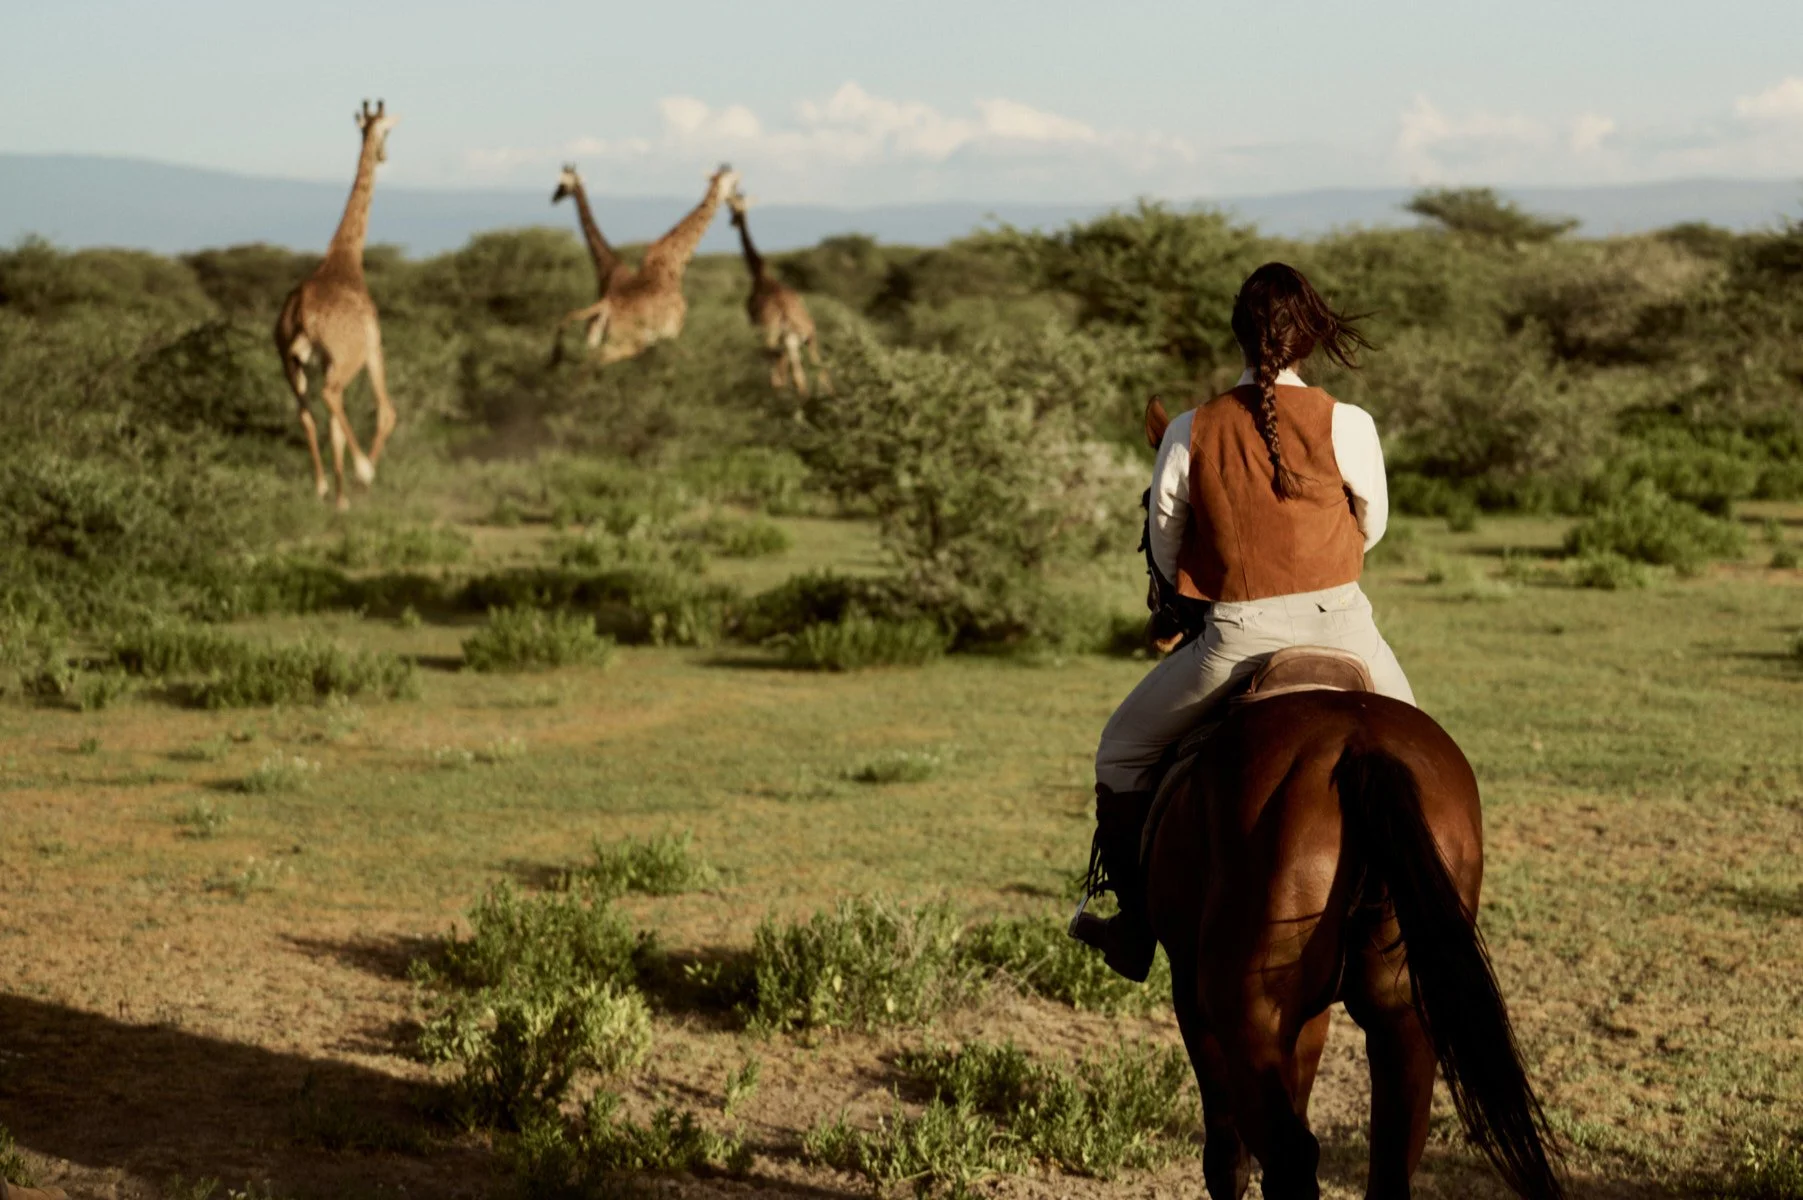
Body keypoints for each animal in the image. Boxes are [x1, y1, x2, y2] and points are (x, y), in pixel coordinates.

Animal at [1135, 397, 1564, 1200]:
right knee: (1387, 1157)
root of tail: (1357, 746)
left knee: (1287, 1156)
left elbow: (1225, 1154)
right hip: (1405, 1017)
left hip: (1247, 1011)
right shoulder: (1308, 1018)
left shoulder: (1196, 999)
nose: (1159, 622)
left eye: (1149, 502)